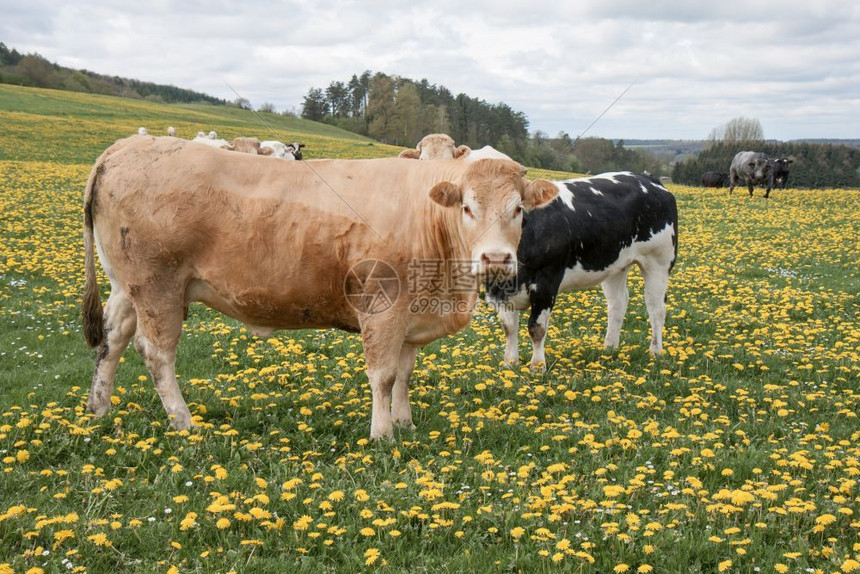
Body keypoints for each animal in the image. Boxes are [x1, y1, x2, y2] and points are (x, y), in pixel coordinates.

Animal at [82, 136, 556, 440]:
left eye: (518, 208)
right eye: (468, 207)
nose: (496, 259)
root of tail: (122, 148)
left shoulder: (413, 313)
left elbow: (404, 373)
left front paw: (405, 424)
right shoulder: (383, 306)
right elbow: (383, 375)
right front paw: (383, 434)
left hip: (128, 286)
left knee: (112, 337)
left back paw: (99, 408)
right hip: (157, 285)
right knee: (156, 353)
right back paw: (183, 422)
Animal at [484, 171, 680, 372]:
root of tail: (647, 178)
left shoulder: (546, 282)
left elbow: (536, 328)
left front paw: (538, 367)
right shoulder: (499, 289)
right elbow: (508, 327)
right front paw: (509, 364)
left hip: (658, 261)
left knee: (656, 308)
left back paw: (655, 352)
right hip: (615, 264)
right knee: (618, 303)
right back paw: (609, 349)